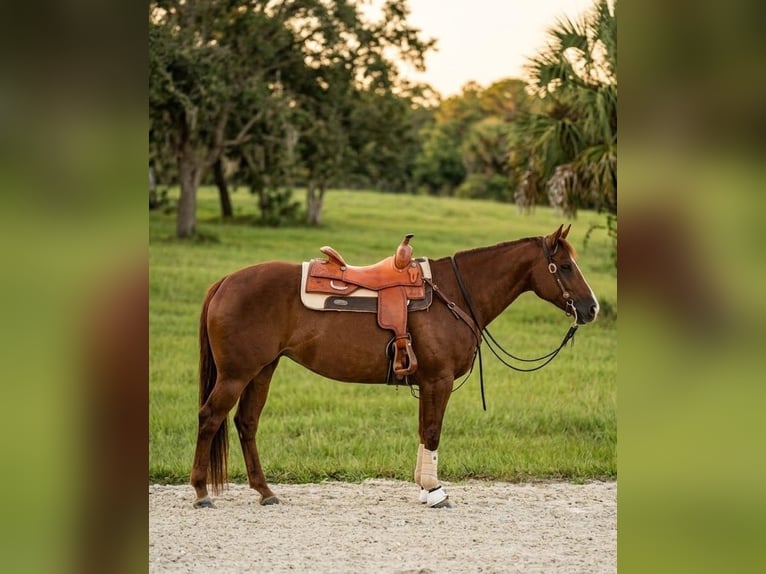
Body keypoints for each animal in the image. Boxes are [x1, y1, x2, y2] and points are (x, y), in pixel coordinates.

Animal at [190, 224, 599, 509]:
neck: (456, 292)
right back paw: (201, 491)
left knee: (246, 422)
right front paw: (435, 491)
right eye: (565, 266)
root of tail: (224, 282)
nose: (591, 307)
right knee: (210, 417)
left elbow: (423, 430)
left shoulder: (428, 382)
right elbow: (432, 431)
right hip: (236, 374)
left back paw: (265, 492)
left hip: (262, 370)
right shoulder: (438, 380)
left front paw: (423, 486)